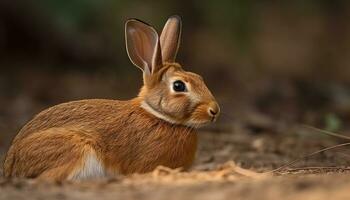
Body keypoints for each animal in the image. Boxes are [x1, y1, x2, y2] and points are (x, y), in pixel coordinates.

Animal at [2, 15, 220, 181]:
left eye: (199, 78)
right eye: (179, 86)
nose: (214, 110)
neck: (157, 115)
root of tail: (11, 164)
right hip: (76, 149)